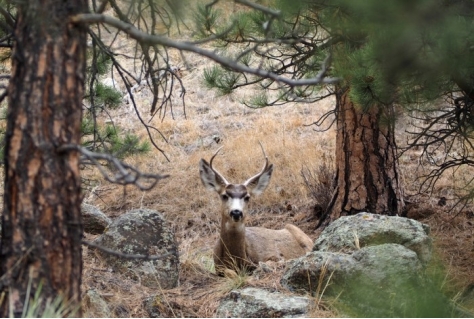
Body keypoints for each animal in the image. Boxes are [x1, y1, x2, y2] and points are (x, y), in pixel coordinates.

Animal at [198, 146, 312, 274]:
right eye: (224, 195)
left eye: (247, 197)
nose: (236, 212)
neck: (237, 259)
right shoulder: (218, 268)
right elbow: (228, 272)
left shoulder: (270, 254)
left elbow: (270, 262)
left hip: (298, 232)